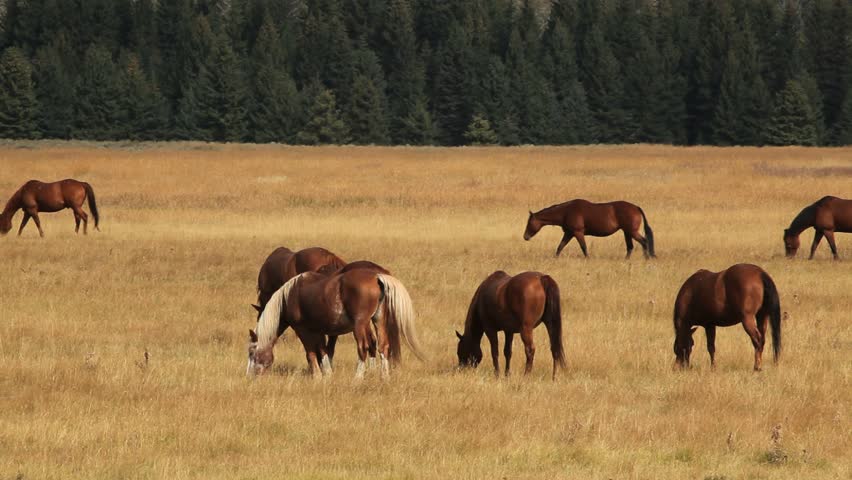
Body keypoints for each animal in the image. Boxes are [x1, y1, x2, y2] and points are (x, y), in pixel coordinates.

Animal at [247, 269, 426, 379]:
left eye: (251, 352)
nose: (251, 376)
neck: (289, 297)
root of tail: (376, 277)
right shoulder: (317, 330)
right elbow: (323, 350)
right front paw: (327, 375)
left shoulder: (303, 330)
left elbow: (311, 353)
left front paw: (318, 376)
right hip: (378, 320)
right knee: (383, 346)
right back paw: (384, 377)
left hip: (360, 325)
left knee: (363, 348)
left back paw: (357, 379)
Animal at [523, 199, 655, 259]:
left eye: (529, 223)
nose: (525, 237)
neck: (566, 212)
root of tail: (636, 207)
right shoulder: (569, 233)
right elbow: (560, 246)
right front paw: (555, 258)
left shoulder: (577, 233)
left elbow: (583, 247)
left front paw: (588, 259)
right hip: (627, 232)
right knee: (630, 247)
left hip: (632, 232)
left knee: (644, 242)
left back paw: (647, 258)